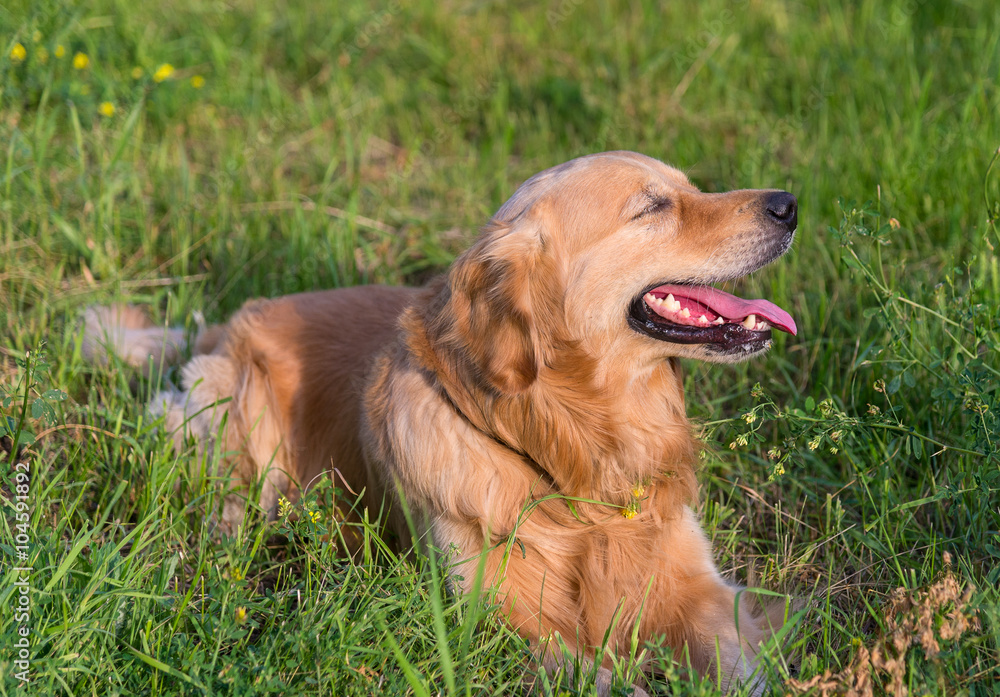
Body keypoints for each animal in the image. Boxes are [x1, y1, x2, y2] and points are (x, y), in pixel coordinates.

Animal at [82, 151, 796, 692]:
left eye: (690, 187)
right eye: (652, 208)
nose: (789, 203)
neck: (579, 458)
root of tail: (232, 319)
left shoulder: (699, 588)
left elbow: (741, 667)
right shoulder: (500, 615)